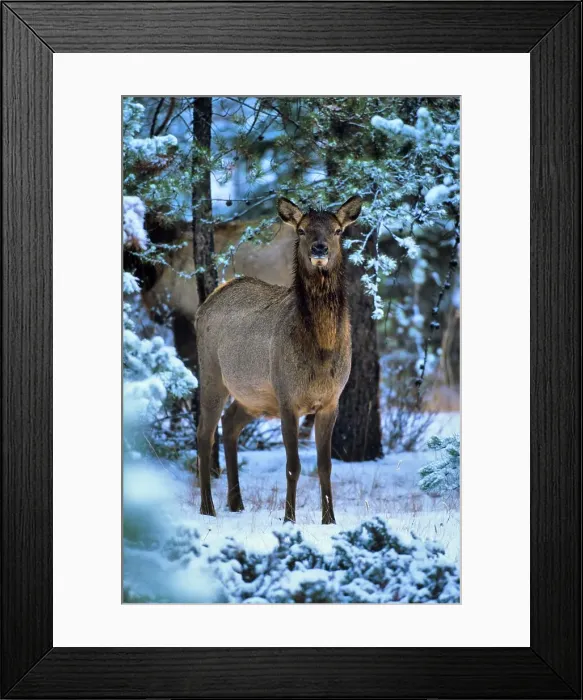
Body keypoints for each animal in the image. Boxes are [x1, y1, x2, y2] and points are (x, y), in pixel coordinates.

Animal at [194, 195, 362, 524]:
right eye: (301, 229)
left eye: (338, 230)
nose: (319, 249)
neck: (321, 353)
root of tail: (206, 303)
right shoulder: (287, 397)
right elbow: (293, 466)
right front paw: (288, 518)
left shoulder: (331, 400)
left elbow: (325, 466)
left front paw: (330, 519)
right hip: (211, 375)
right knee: (204, 435)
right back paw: (207, 507)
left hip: (254, 396)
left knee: (230, 424)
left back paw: (236, 503)